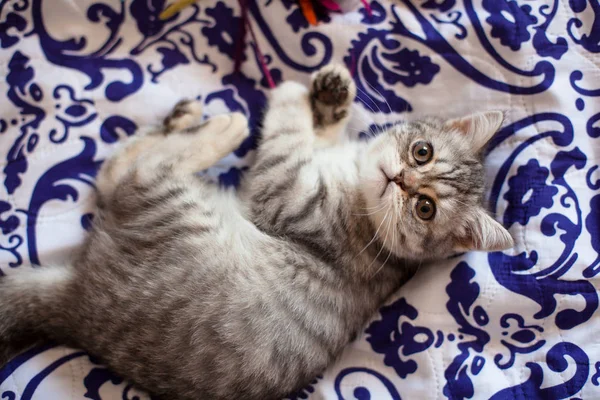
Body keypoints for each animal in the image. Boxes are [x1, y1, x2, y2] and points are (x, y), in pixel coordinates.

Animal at [1, 64, 516, 398]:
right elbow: (314, 136)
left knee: (135, 170)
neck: (355, 183)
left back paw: (221, 127)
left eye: (426, 208)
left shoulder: (286, 191)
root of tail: (77, 305)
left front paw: (288, 92)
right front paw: (331, 102)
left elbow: (287, 131)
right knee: (114, 173)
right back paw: (186, 118)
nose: (401, 180)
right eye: (422, 152)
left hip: (180, 213)